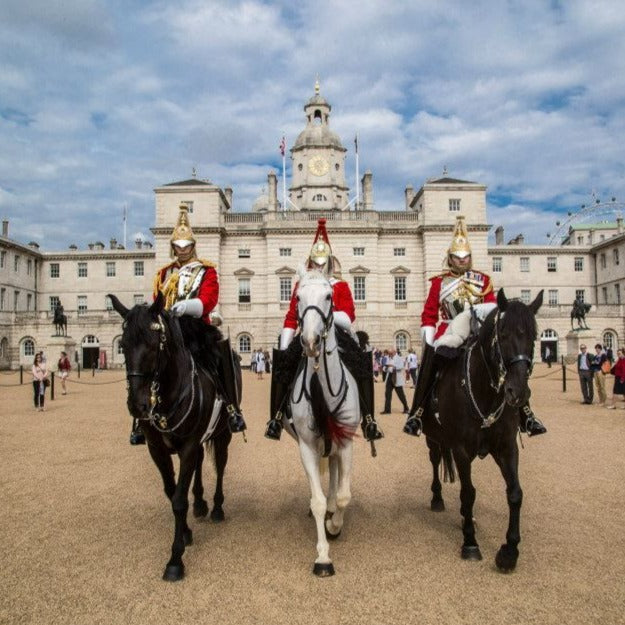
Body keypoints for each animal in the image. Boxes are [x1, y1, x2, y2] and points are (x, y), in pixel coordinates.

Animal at [108, 292, 235, 580]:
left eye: (155, 343)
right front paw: (186, 532)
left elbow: (178, 500)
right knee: (199, 466)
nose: (138, 406)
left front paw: (176, 558)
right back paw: (200, 503)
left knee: (220, 467)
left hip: (223, 434)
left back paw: (217, 508)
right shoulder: (157, 449)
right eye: (123, 345)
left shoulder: (188, 445)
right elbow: (172, 491)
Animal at [420, 288, 540, 572]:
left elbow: (515, 493)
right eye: (502, 334)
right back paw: (438, 499)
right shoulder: (461, 449)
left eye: (534, 336)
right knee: (435, 461)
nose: (517, 392)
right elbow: (468, 493)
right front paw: (471, 543)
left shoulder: (507, 447)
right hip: (432, 437)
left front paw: (509, 551)